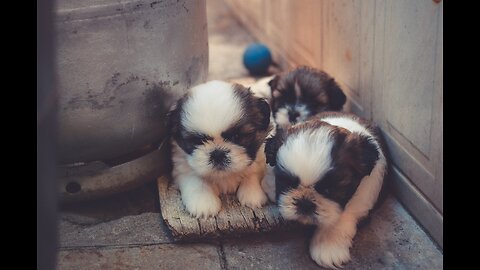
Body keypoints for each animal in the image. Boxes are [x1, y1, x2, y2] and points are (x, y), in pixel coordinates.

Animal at [168, 79, 274, 217]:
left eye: (236, 136)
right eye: (198, 141)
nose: (217, 154)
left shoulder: (259, 159)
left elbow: (252, 173)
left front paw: (252, 194)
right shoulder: (183, 168)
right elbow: (196, 181)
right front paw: (203, 202)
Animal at [264, 111, 388, 268]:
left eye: (330, 190)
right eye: (287, 183)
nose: (305, 203)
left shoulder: (363, 196)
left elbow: (342, 217)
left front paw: (328, 245)